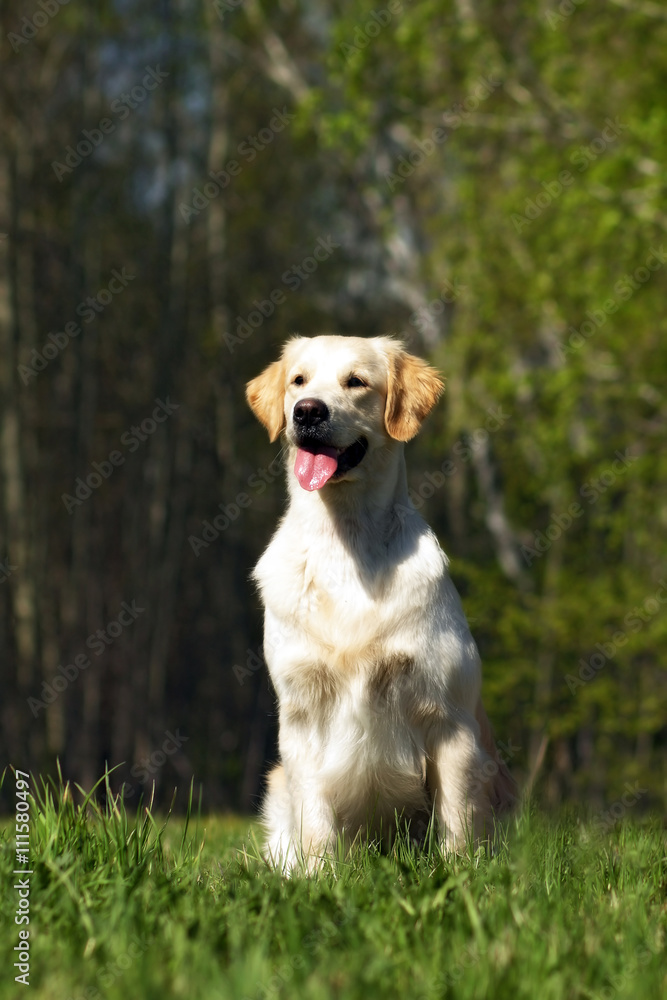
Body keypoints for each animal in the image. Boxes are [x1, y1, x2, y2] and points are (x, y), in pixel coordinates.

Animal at [245, 334, 516, 868]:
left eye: (356, 381)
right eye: (298, 381)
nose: (307, 411)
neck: (346, 542)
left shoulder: (448, 718)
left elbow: (457, 819)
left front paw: (458, 877)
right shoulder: (303, 714)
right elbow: (317, 824)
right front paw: (318, 877)